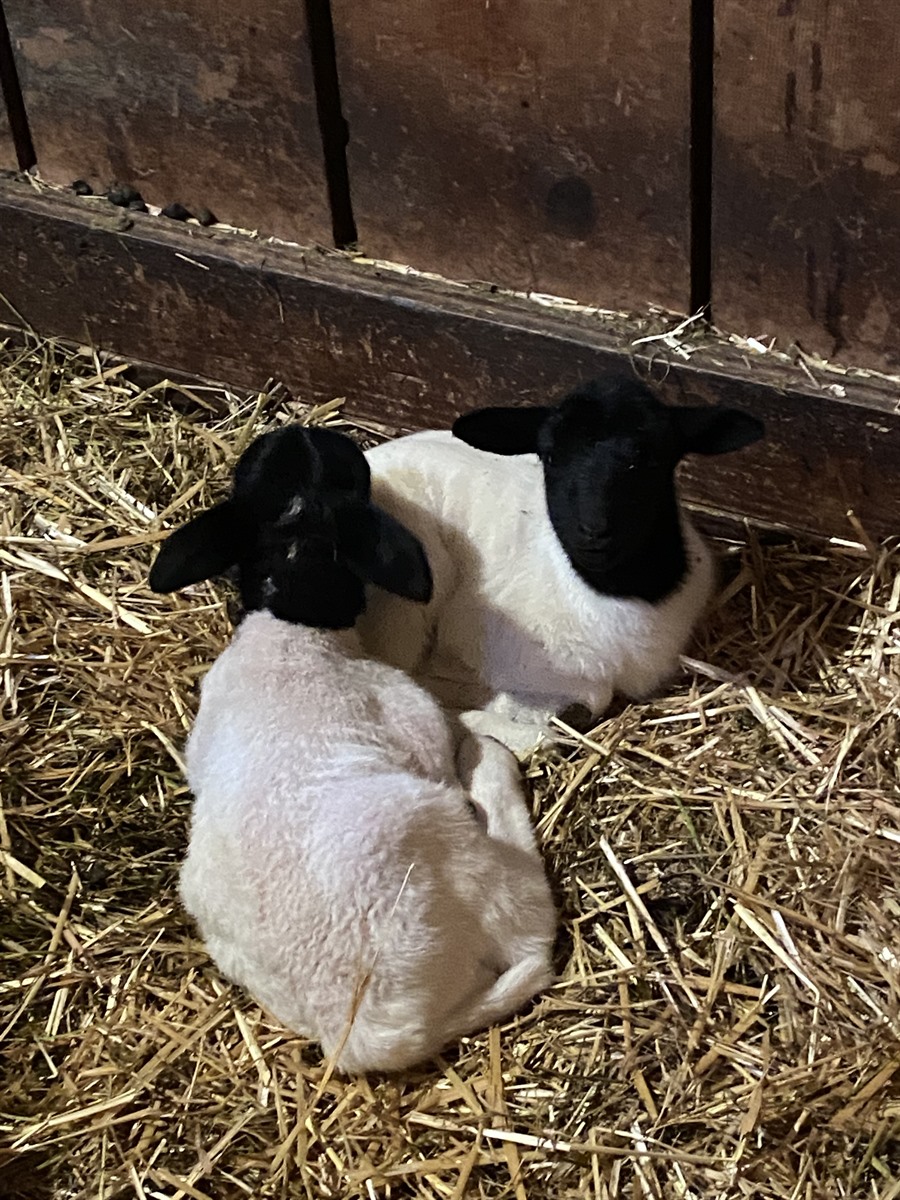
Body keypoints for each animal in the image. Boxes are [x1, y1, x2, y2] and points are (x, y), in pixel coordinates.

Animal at [149, 424, 555, 1075]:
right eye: (351, 470)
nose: (303, 427)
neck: (293, 624)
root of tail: (373, 1031)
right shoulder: (409, 717)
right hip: (456, 854)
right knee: (532, 929)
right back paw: (493, 767)